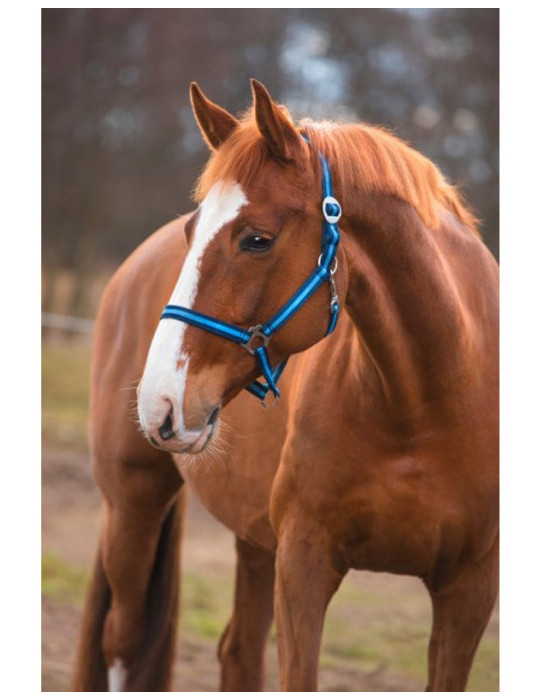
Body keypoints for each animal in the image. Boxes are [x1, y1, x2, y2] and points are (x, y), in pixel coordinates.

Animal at [73, 80, 499, 692]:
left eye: (257, 239)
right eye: (192, 231)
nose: (159, 402)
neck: (424, 405)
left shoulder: (469, 590)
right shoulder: (304, 564)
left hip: (253, 540)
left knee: (238, 652)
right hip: (133, 503)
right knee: (122, 644)